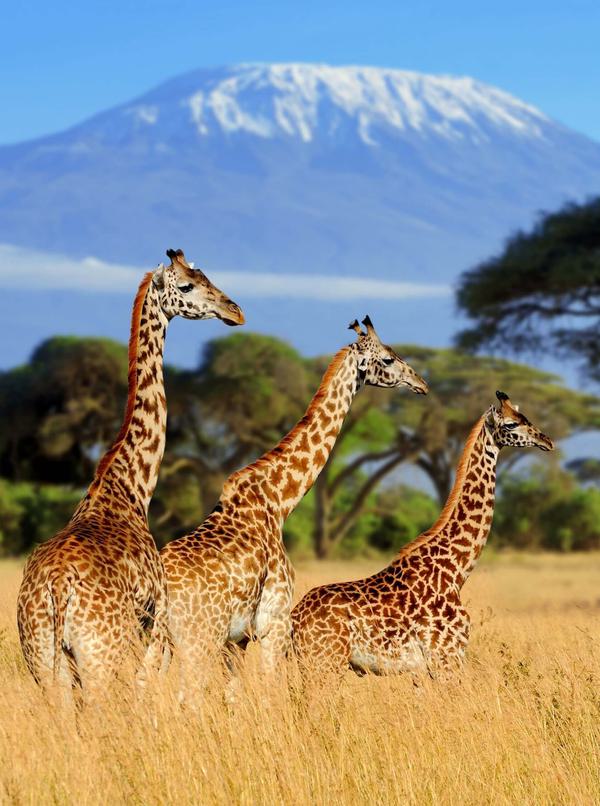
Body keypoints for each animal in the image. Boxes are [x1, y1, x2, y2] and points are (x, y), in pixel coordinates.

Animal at [17, 248, 244, 700]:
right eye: (187, 285)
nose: (235, 311)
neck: (130, 486)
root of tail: (56, 589)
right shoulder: (155, 624)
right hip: (100, 657)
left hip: (44, 662)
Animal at [160, 316, 428, 700]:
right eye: (388, 359)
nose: (421, 384)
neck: (279, 501)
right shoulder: (274, 621)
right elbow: (270, 690)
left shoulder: (238, 639)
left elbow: (234, 695)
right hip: (198, 638)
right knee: (188, 696)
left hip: (158, 641)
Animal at [291, 390, 554, 685]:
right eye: (510, 424)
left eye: (525, 417)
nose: (547, 441)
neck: (457, 570)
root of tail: (294, 618)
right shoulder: (446, 658)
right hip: (324, 663)